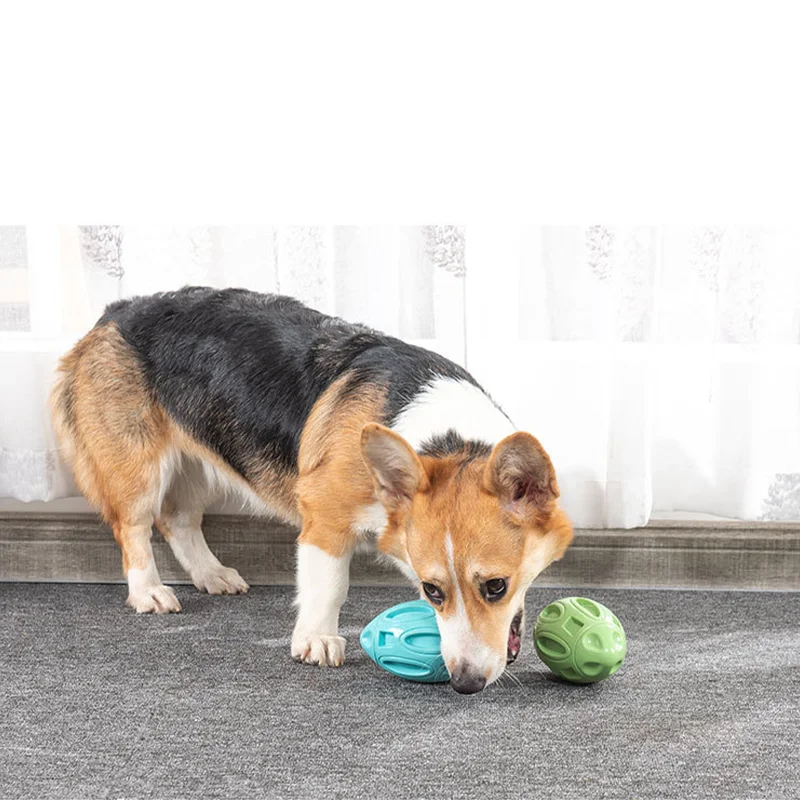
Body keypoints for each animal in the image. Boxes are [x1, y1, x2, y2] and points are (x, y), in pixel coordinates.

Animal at [50, 288, 572, 692]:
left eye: (496, 586)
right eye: (432, 590)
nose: (465, 683)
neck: (447, 438)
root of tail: (114, 311)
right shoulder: (325, 518)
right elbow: (328, 585)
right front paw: (317, 640)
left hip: (200, 461)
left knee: (178, 520)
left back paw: (212, 574)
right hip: (138, 469)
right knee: (134, 526)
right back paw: (150, 592)